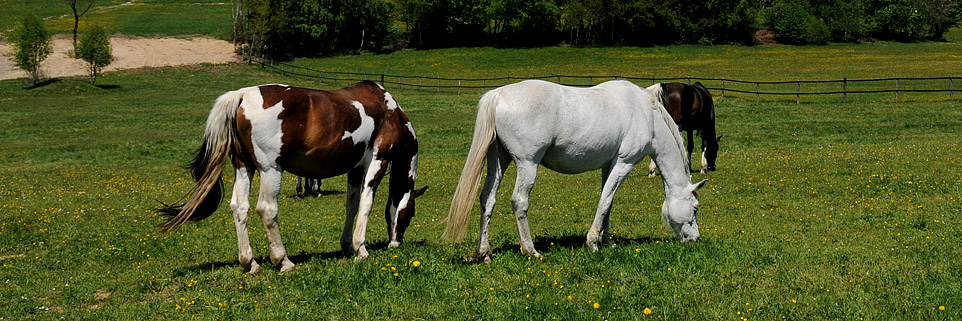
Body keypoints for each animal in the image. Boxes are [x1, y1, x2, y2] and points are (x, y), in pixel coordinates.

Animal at [158, 81, 428, 272]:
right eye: (411, 212)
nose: (396, 243)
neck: (389, 111)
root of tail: (242, 95)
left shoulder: (356, 168)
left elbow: (351, 206)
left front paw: (347, 246)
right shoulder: (377, 160)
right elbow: (366, 204)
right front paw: (360, 249)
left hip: (244, 167)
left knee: (240, 207)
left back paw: (250, 263)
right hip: (270, 170)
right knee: (267, 209)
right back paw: (283, 261)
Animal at [442, 79, 704, 262]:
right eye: (695, 208)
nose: (695, 239)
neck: (646, 116)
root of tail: (498, 95)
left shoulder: (609, 165)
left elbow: (608, 202)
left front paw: (606, 241)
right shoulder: (624, 163)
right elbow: (604, 202)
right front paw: (593, 243)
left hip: (499, 160)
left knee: (487, 200)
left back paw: (484, 253)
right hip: (527, 164)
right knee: (519, 201)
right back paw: (530, 250)